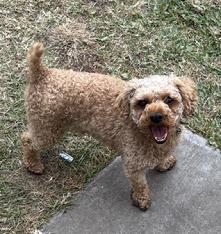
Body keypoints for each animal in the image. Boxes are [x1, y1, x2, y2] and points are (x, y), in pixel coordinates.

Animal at [21, 43, 198, 211]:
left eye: (168, 99)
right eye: (142, 103)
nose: (156, 117)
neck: (145, 134)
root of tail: (42, 73)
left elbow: (161, 157)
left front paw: (164, 163)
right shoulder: (133, 165)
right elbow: (140, 185)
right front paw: (142, 199)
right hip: (48, 128)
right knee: (27, 140)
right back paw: (34, 164)